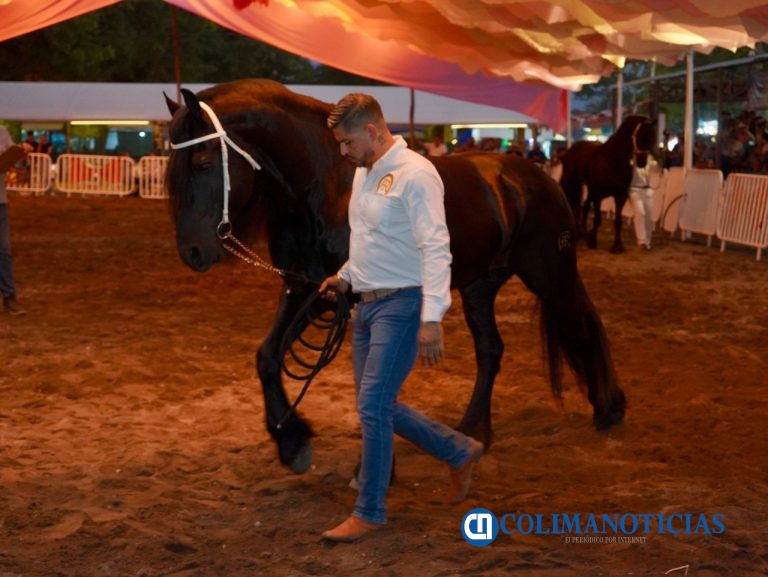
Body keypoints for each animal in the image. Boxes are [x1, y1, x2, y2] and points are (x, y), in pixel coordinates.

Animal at [165, 79, 626, 474]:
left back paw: (609, 408)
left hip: (551, 276)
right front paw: (292, 441)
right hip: (479, 285)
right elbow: (267, 356)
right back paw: (474, 430)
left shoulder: (346, 297)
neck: (328, 182)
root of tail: (537, 179)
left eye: (202, 163)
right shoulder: (306, 288)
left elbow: (370, 378)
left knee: (581, 325)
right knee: (491, 350)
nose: (192, 252)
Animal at [559, 115, 656, 253]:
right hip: (573, 183)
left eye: (651, 138)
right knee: (574, 204)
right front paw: (593, 241)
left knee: (585, 205)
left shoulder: (620, 196)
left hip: (590, 190)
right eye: (641, 136)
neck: (613, 160)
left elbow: (618, 221)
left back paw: (583, 231)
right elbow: (598, 219)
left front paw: (617, 246)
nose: (642, 162)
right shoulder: (598, 195)